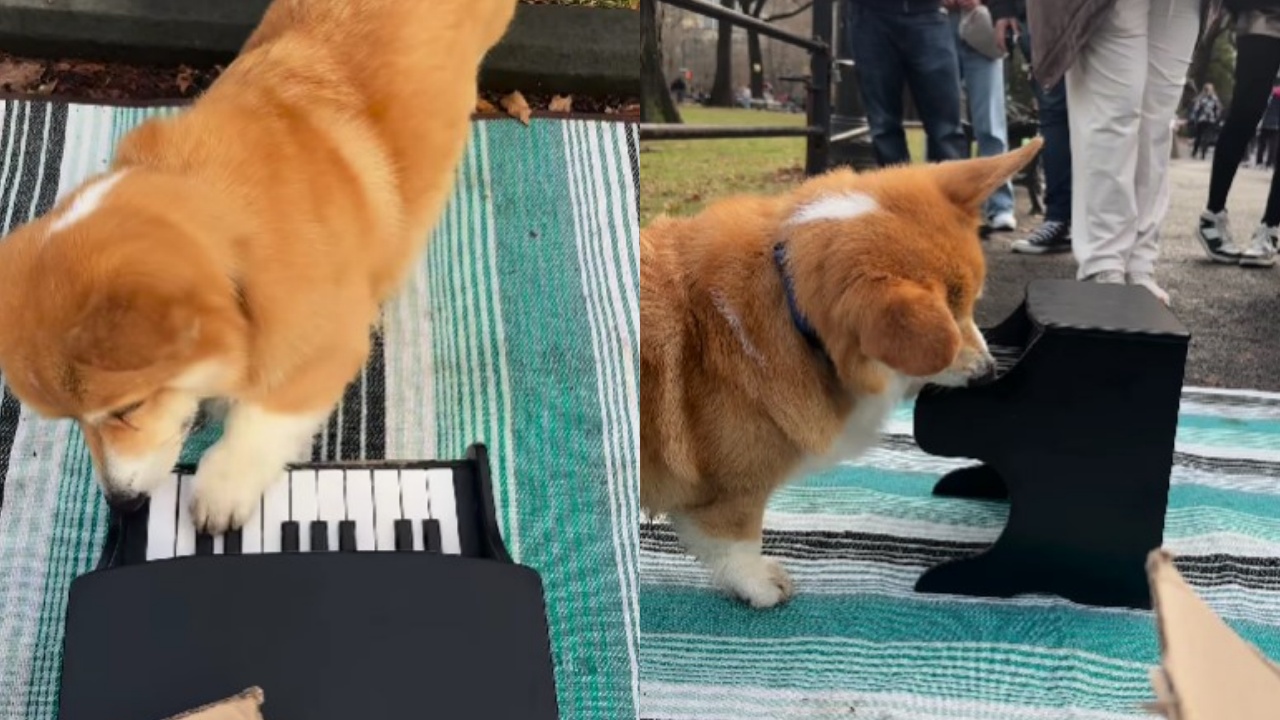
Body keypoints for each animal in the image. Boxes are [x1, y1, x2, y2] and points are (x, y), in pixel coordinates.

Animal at [0, 0, 514, 530]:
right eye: (72, 421)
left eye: (129, 408)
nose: (123, 505)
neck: (222, 221)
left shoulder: (329, 347)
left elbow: (264, 416)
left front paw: (222, 488)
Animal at [645, 140, 1044, 604]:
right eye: (946, 321)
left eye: (970, 306)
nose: (989, 373)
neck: (788, 300)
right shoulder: (733, 488)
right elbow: (739, 541)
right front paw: (761, 585)